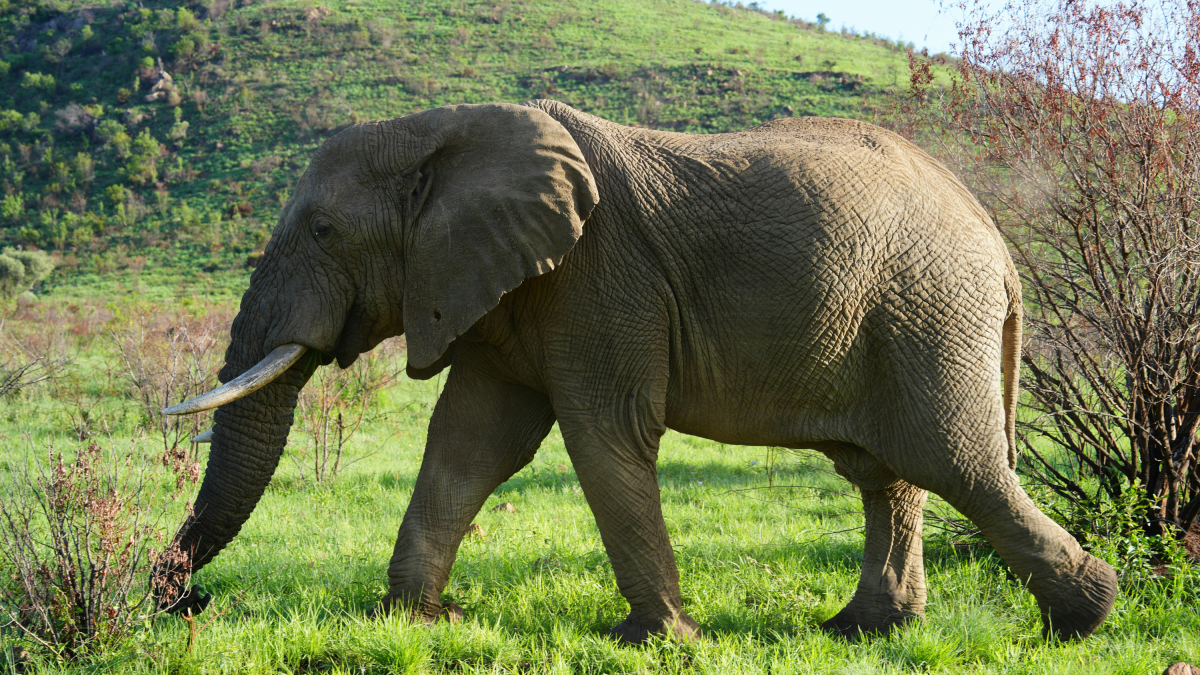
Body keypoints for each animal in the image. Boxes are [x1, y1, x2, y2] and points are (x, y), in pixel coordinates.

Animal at [160, 100, 1118, 643]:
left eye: (322, 231)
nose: (184, 602)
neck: (442, 131)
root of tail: (996, 240)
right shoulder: (507, 286)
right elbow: (471, 443)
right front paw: (416, 621)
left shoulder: (597, 274)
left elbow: (602, 432)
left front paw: (658, 640)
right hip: (901, 318)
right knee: (890, 473)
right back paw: (866, 631)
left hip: (928, 312)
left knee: (959, 464)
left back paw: (1085, 617)